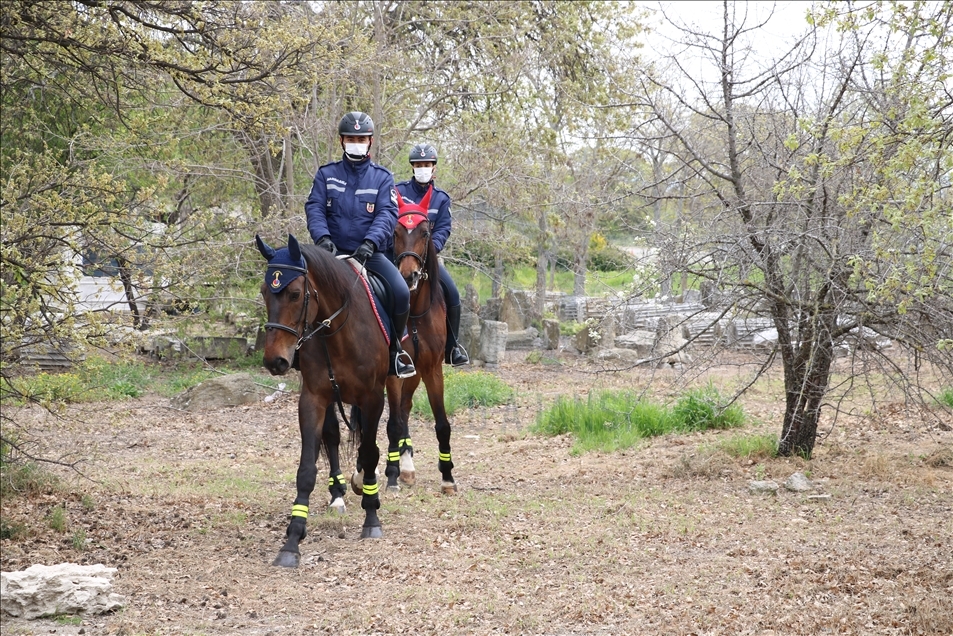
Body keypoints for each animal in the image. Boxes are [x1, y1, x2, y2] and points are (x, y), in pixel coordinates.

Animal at [256, 232, 390, 568]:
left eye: (294, 294)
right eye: (264, 292)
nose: (275, 361)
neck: (340, 331)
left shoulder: (373, 398)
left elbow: (371, 453)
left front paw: (372, 519)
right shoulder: (314, 398)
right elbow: (306, 469)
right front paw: (291, 541)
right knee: (333, 437)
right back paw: (340, 492)